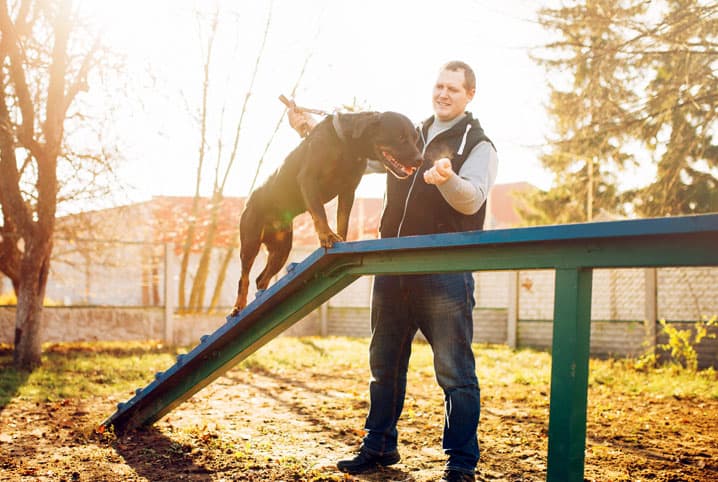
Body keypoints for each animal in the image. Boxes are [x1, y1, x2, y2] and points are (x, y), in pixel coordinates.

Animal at [231, 112, 424, 316]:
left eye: (415, 138)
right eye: (401, 137)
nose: (420, 160)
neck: (347, 145)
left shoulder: (348, 190)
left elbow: (343, 220)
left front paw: (341, 239)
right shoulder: (309, 179)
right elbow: (320, 213)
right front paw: (328, 236)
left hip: (281, 250)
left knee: (261, 278)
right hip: (250, 241)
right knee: (244, 277)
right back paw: (239, 306)